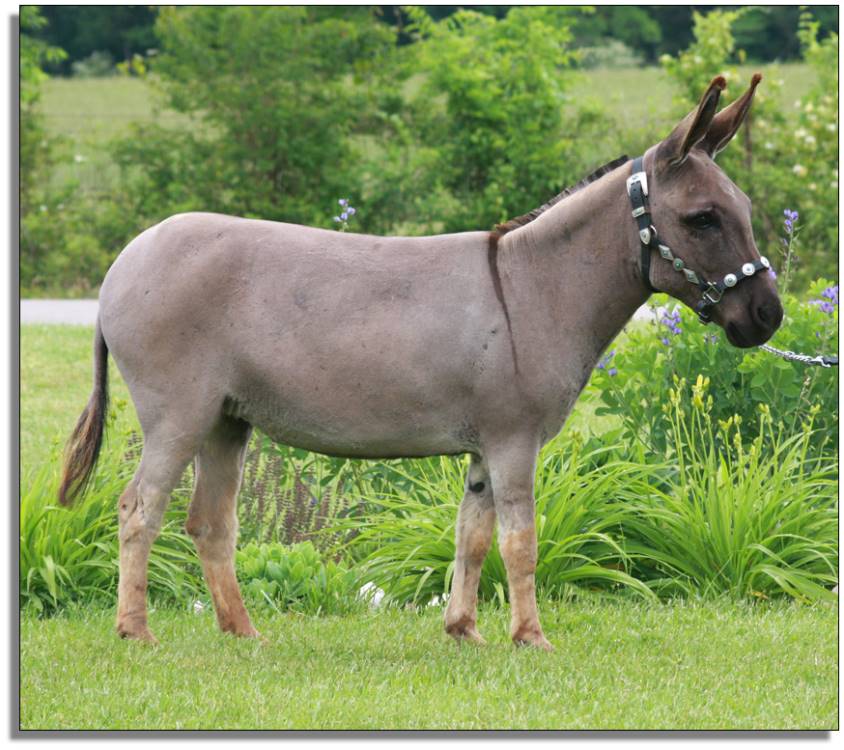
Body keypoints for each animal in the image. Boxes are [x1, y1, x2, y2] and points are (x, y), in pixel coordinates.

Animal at [59, 75, 781, 649]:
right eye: (704, 218)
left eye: (743, 211)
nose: (769, 316)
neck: (534, 286)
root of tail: (122, 263)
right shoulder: (514, 440)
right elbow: (521, 542)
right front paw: (532, 638)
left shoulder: (486, 447)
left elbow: (473, 537)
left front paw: (464, 631)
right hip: (177, 415)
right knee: (138, 509)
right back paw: (136, 632)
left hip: (225, 421)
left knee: (210, 523)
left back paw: (242, 633)